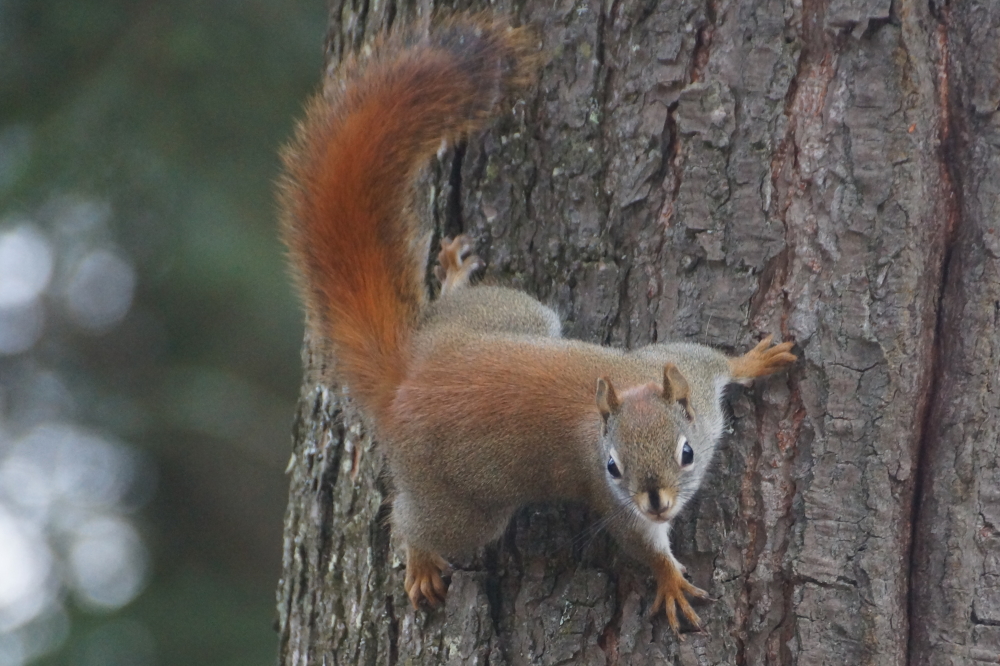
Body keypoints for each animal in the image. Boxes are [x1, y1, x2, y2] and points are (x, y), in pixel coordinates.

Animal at [279, 17, 796, 635]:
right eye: (612, 466)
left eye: (687, 452)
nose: (658, 502)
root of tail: (407, 377)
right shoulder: (610, 499)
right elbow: (639, 542)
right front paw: (669, 580)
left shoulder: (683, 370)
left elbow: (714, 359)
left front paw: (756, 360)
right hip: (457, 505)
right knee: (408, 519)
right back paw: (420, 561)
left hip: (513, 317)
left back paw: (454, 277)